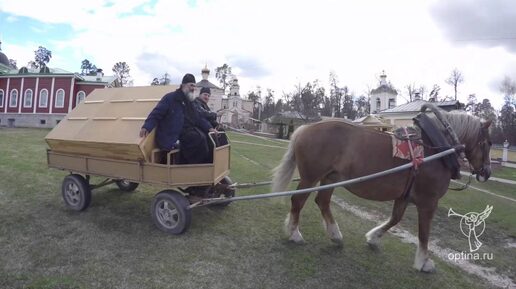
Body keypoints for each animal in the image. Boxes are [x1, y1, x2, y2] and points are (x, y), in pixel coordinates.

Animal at [270, 108, 492, 272]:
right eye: (488, 143)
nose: (487, 172)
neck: (434, 148)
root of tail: (305, 128)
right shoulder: (428, 202)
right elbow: (424, 233)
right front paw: (423, 262)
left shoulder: (404, 196)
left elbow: (395, 219)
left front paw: (374, 238)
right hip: (310, 177)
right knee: (298, 201)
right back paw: (295, 233)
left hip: (330, 178)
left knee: (322, 202)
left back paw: (335, 235)